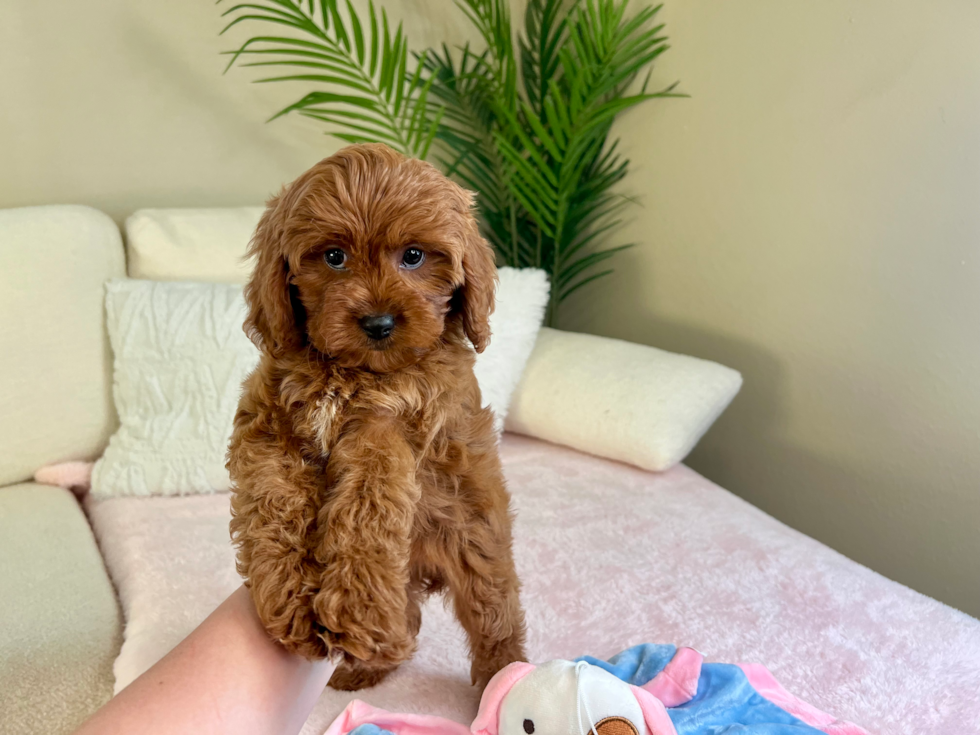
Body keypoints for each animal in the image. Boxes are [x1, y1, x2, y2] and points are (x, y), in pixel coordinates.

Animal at [228, 142, 528, 688]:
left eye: (413, 256)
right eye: (334, 257)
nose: (379, 323)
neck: (353, 372)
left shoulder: (392, 431)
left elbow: (366, 508)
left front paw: (356, 610)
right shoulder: (266, 423)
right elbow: (272, 501)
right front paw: (290, 603)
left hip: (477, 535)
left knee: (493, 610)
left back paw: (502, 676)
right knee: (408, 615)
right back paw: (365, 666)